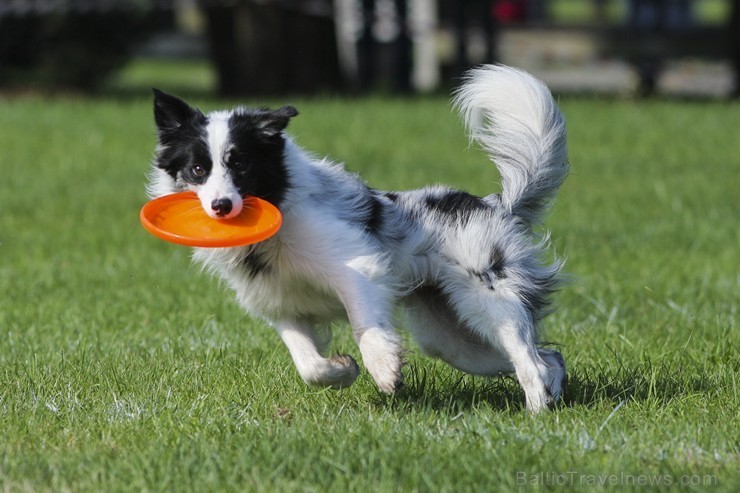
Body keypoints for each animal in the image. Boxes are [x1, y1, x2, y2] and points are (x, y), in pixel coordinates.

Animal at [147, 65, 568, 412]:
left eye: (241, 164)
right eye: (198, 169)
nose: (221, 206)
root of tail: (495, 204)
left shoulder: (356, 268)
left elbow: (365, 326)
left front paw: (384, 370)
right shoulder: (281, 306)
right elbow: (307, 363)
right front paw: (342, 370)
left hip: (489, 303)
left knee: (530, 361)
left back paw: (536, 414)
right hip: (448, 337)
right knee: (549, 358)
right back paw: (552, 397)